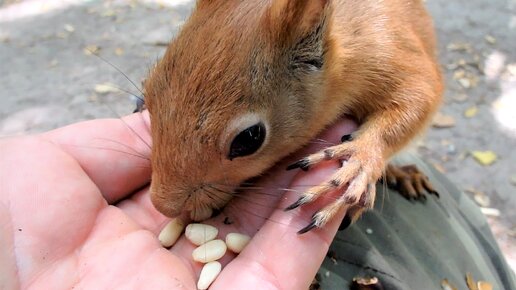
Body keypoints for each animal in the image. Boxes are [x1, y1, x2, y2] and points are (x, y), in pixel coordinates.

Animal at [142, 0, 444, 231]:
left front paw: (361, 159)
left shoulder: (389, 52)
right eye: (148, 89)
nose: (162, 205)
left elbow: (419, 96)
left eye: (249, 139)